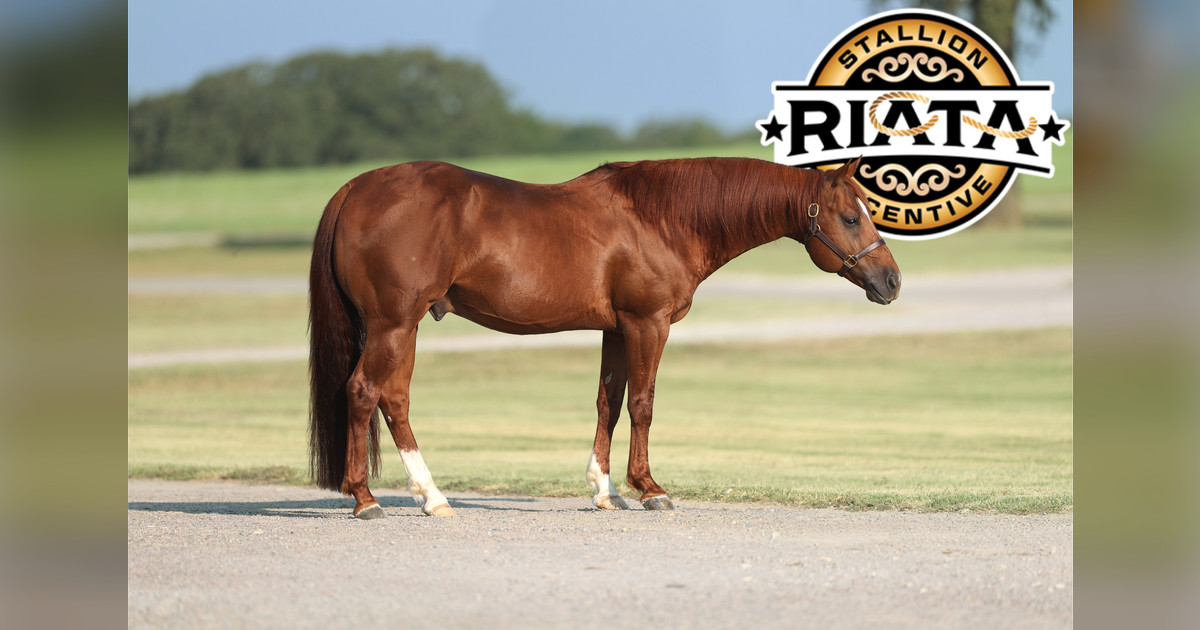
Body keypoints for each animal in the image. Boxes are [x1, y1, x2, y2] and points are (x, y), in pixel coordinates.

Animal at [309, 156, 901, 519]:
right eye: (851, 218)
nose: (892, 281)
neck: (661, 219)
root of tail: (355, 188)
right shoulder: (647, 323)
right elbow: (642, 404)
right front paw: (650, 489)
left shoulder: (615, 331)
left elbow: (608, 404)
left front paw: (605, 489)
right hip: (392, 325)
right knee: (364, 392)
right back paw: (366, 499)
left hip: (402, 328)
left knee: (394, 399)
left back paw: (431, 496)